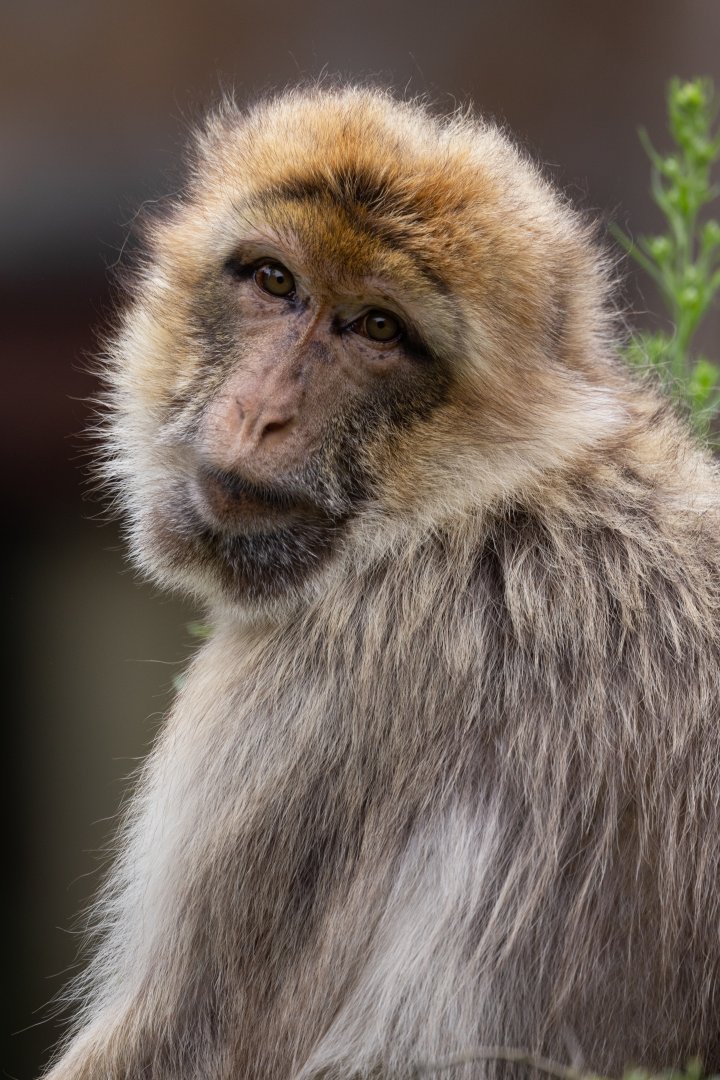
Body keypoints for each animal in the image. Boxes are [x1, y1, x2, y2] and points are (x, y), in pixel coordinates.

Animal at [43, 84, 720, 1080]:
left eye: (377, 329)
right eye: (275, 282)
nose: (263, 413)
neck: (468, 500)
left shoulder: (309, 706)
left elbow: (192, 1038)